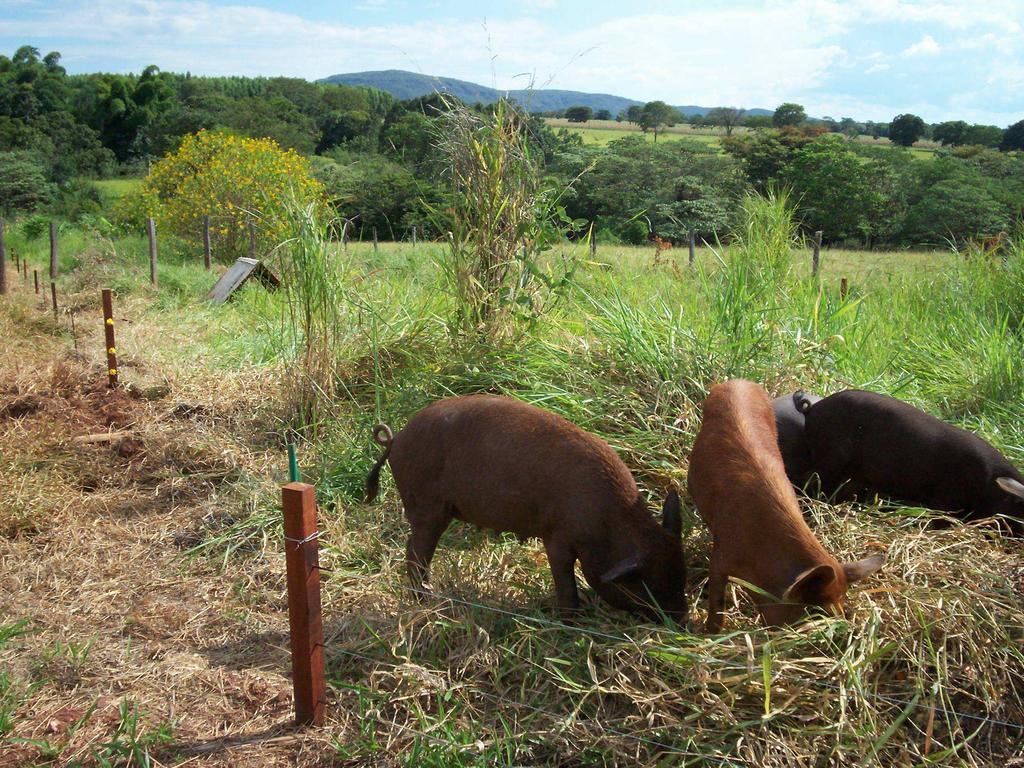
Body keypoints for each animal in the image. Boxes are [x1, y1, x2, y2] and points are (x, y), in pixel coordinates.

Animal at [362, 393, 688, 622]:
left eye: (681, 575)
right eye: (648, 586)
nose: (682, 623)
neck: (610, 520)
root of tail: (395, 440)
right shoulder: (557, 535)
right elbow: (565, 582)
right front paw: (572, 622)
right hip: (427, 506)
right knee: (415, 552)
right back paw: (427, 601)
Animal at [684, 382, 884, 634]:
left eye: (841, 605)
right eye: (817, 612)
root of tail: (738, 382)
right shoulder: (722, 555)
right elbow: (717, 600)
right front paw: (709, 632)